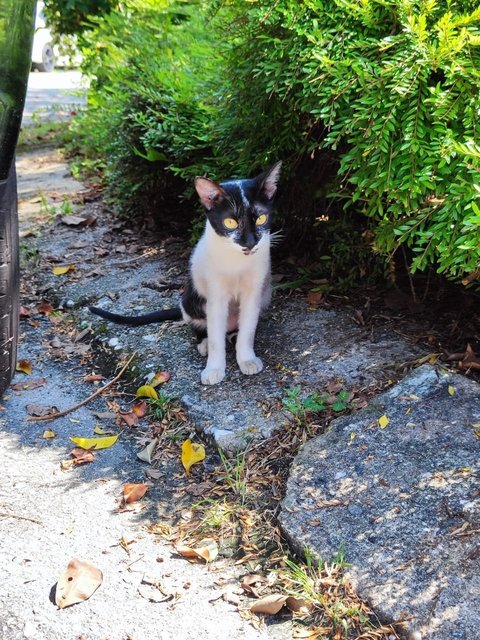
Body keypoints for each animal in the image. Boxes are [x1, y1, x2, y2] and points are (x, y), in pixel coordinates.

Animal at [90, 162, 282, 384]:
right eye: (230, 223)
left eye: (261, 218)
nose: (250, 243)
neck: (237, 261)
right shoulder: (215, 296)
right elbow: (215, 337)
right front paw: (214, 368)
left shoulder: (254, 292)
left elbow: (248, 329)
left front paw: (246, 358)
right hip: (191, 299)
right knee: (202, 326)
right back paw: (204, 343)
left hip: (265, 295)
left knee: (236, 327)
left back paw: (233, 337)